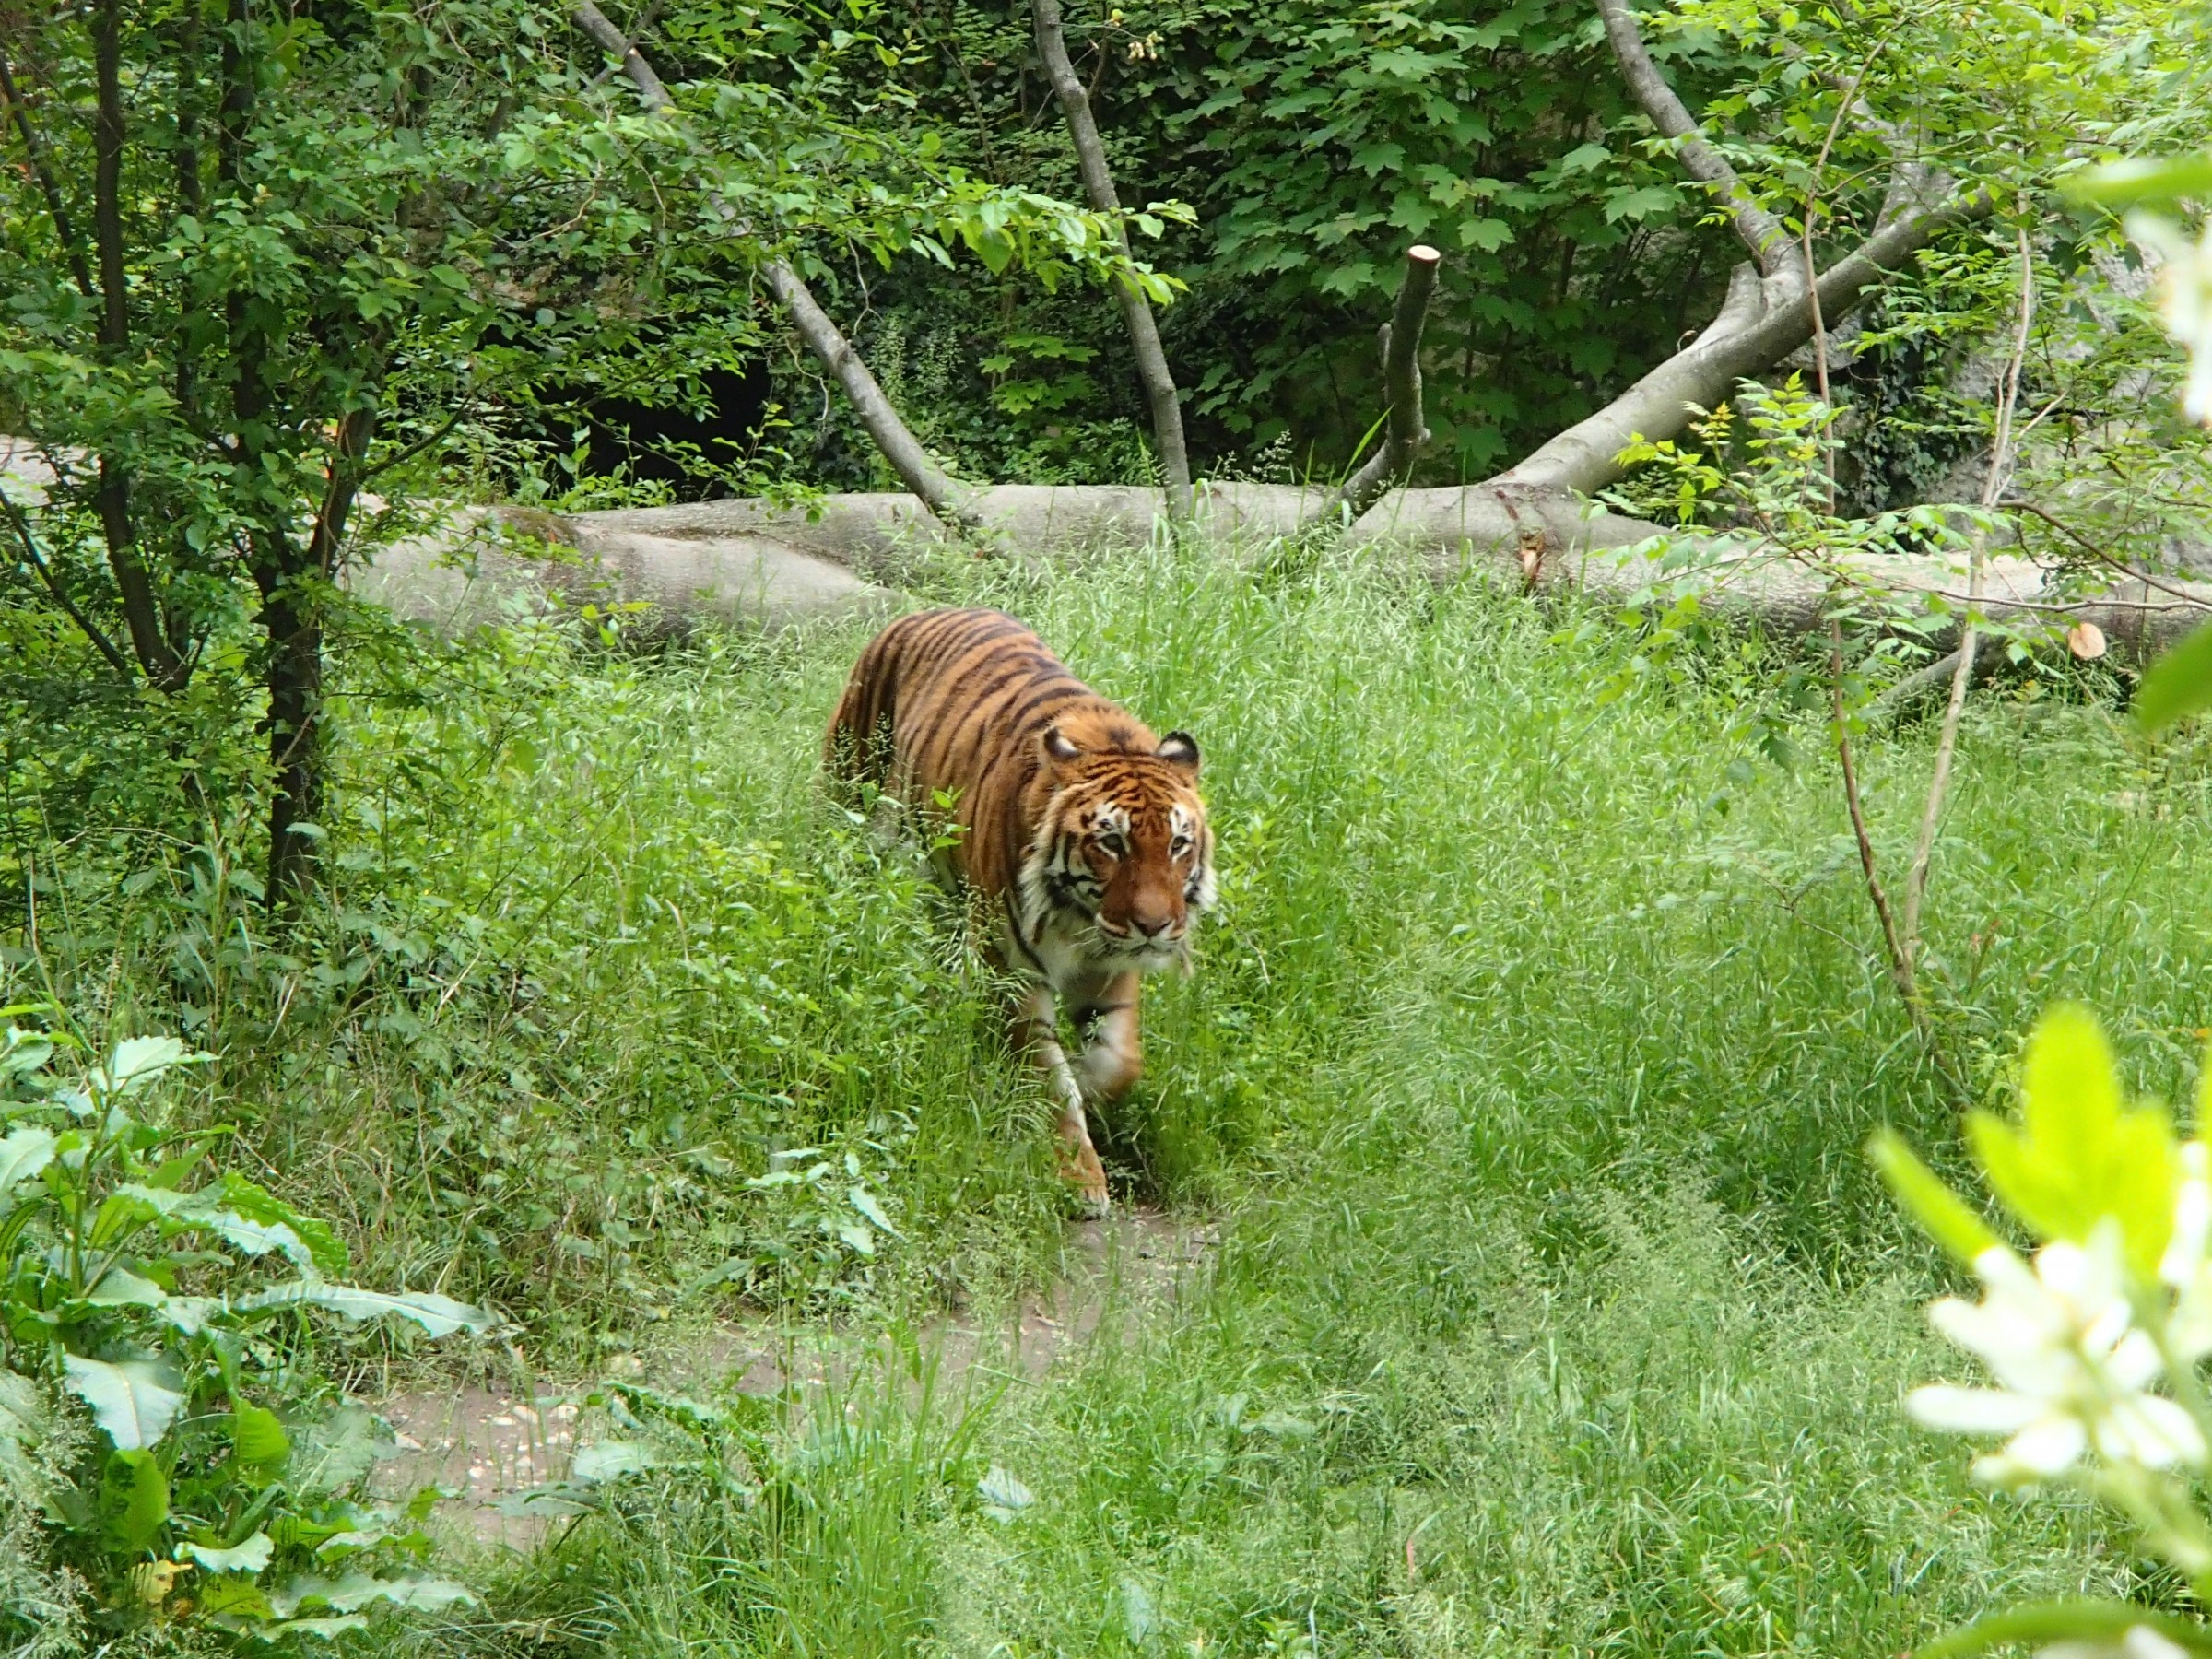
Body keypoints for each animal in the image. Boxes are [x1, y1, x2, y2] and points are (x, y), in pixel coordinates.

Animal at [827, 606, 1220, 1212]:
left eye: (1178, 844)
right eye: (1113, 844)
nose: (1155, 928)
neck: (1080, 919)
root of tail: (921, 611)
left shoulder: (1113, 966)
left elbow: (1118, 1061)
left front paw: (1090, 1085)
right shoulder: (1013, 970)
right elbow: (1049, 1081)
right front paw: (1081, 1179)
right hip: (851, 799)